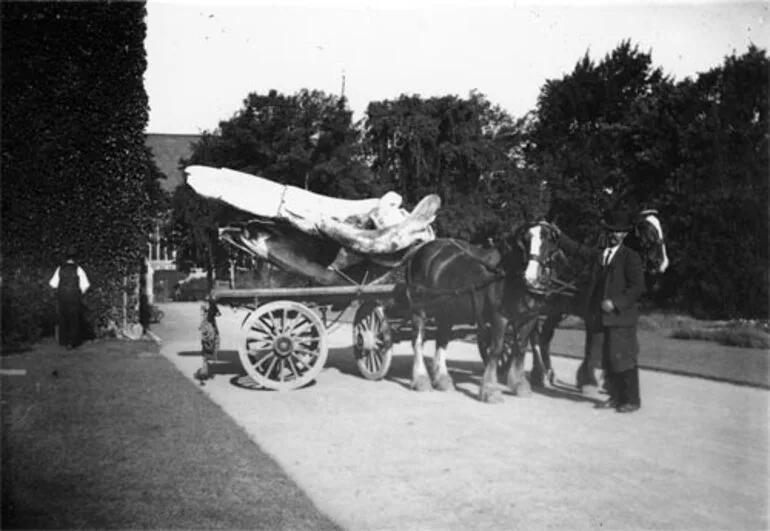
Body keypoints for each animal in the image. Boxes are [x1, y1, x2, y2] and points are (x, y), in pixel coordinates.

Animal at [400, 223, 560, 404]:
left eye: (547, 241)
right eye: (525, 241)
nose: (531, 278)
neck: (507, 273)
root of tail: (419, 249)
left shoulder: (529, 318)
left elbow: (520, 348)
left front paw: (520, 385)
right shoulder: (500, 317)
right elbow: (496, 349)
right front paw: (490, 390)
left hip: (446, 312)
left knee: (441, 341)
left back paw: (443, 380)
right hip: (419, 309)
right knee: (418, 341)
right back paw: (421, 379)